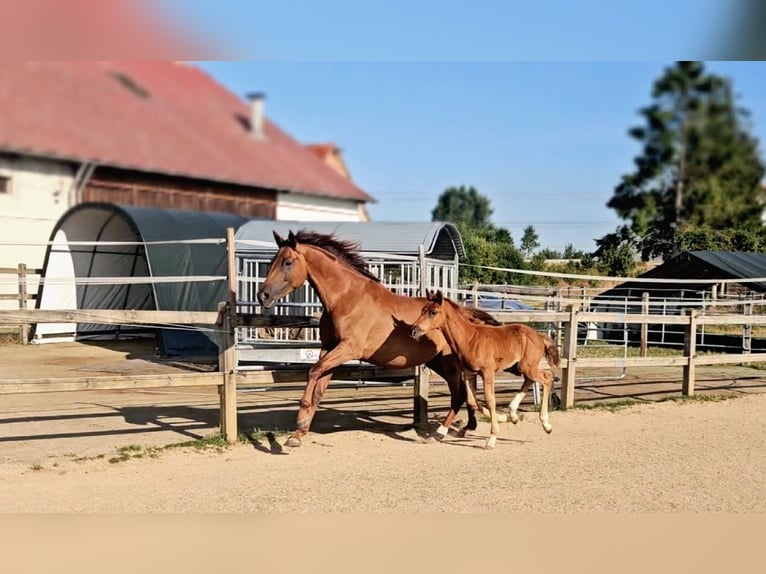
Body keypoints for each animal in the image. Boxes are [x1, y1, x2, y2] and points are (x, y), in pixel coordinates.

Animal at [256, 229, 501, 447]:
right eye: (273, 261)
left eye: (287, 262)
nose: (263, 296)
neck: (346, 298)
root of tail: (466, 314)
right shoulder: (328, 348)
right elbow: (319, 387)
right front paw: (298, 434)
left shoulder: (348, 348)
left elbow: (313, 372)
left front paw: (300, 420)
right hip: (439, 362)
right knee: (465, 392)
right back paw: (466, 427)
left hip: (448, 364)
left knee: (458, 394)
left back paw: (440, 433)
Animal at [410, 289, 560, 450]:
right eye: (422, 310)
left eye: (433, 312)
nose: (413, 331)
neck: (469, 339)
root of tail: (539, 335)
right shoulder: (468, 373)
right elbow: (471, 401)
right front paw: (496, 420)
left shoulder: (487, 372)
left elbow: (490, 400)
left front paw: (492, 439)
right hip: (519, 367)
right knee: (530, 380)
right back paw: (513, 415)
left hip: (527, 366)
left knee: (546, 378)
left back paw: (546, 424)